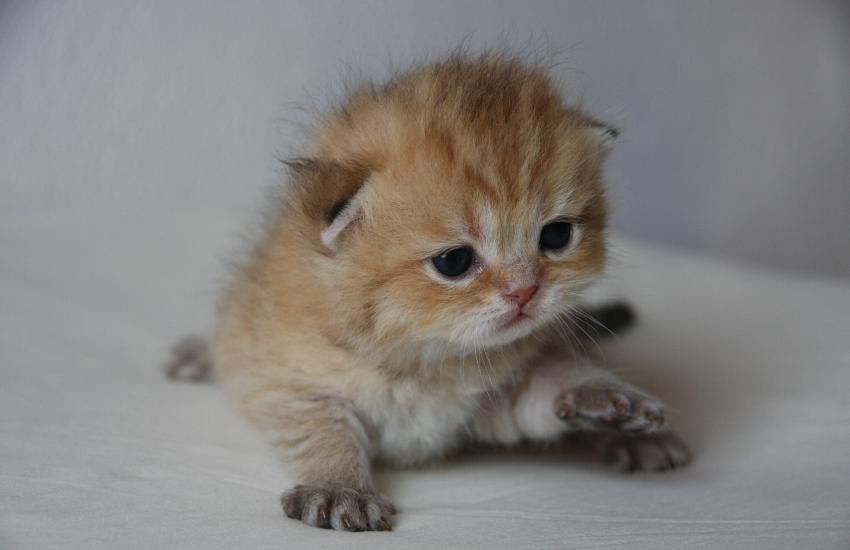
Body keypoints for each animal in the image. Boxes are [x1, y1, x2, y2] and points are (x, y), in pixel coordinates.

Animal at [174, 51, 691, 532]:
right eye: (454, 262)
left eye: (556, 236)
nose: (525, 290)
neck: (425, 362)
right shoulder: (294, 384)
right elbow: (322, 435)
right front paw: (341, 486)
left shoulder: (495, 401)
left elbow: (548, 386)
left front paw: (599, 397)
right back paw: (200, 355)